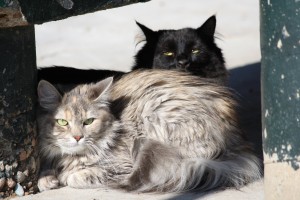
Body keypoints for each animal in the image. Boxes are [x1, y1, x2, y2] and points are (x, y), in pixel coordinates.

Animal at [36, 69, 260, 192]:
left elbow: (76, 176)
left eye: (89, 121)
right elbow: (44, 174)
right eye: (62, 122)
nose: (77, 137)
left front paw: (63, 176)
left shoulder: (122, 163)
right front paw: (48, 179)